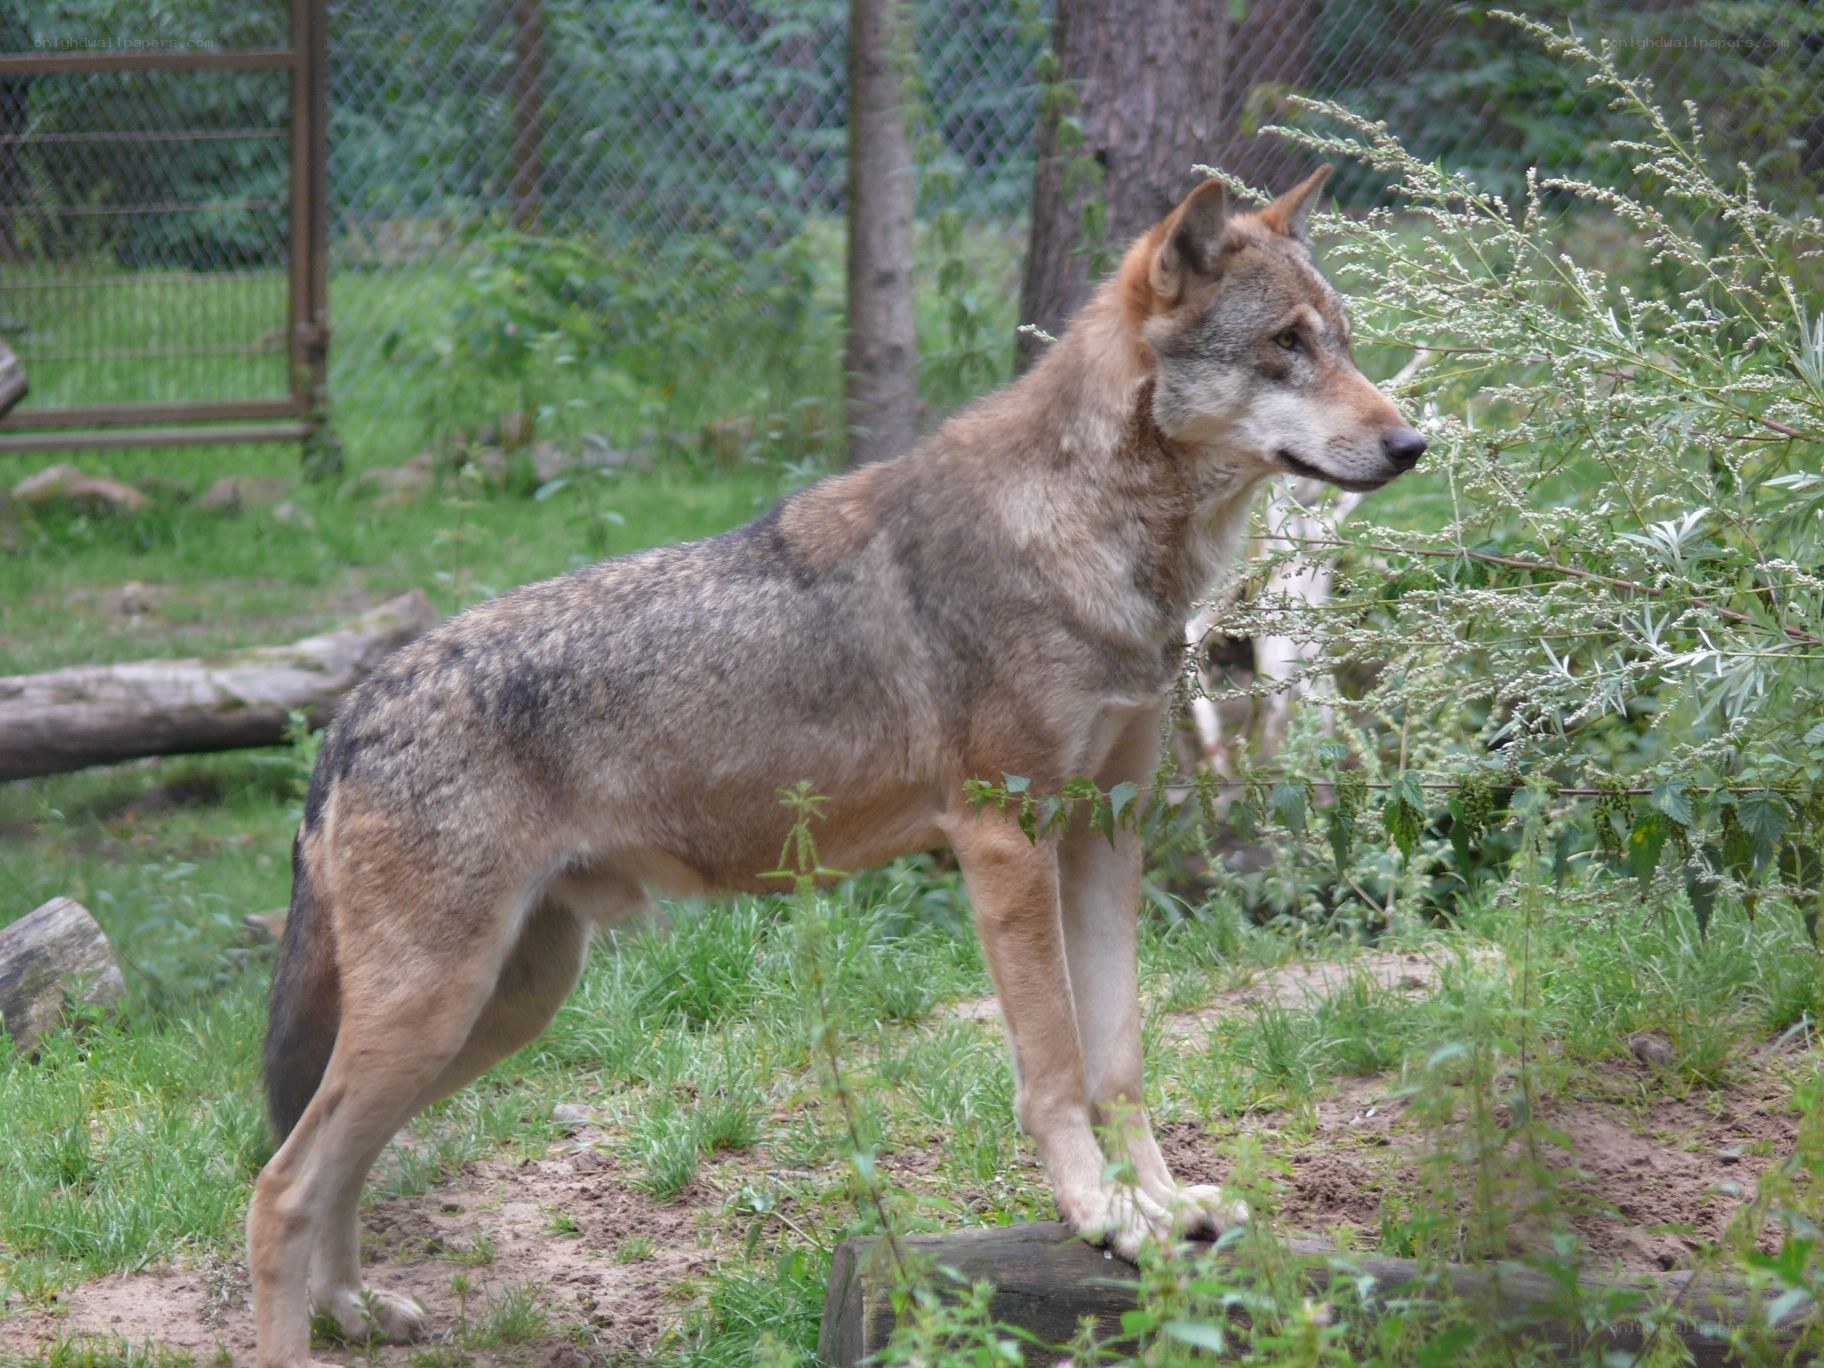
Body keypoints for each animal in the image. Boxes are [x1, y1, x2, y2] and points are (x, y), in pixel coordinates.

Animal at [247, 165, 1424, 1366]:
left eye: (1341, 340)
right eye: (1285, 345)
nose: (1413, 445)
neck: (1091, 533)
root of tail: (350, 716)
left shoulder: (1108, 829)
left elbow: (1121, 1061)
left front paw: (1162, 1208)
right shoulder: (1005, 843)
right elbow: (1054, 1070)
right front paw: (1099, 1215)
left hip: (500, 1007)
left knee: (335, 1161)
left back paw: (354, 1308)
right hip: (441, 1010)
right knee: (281, 1185)